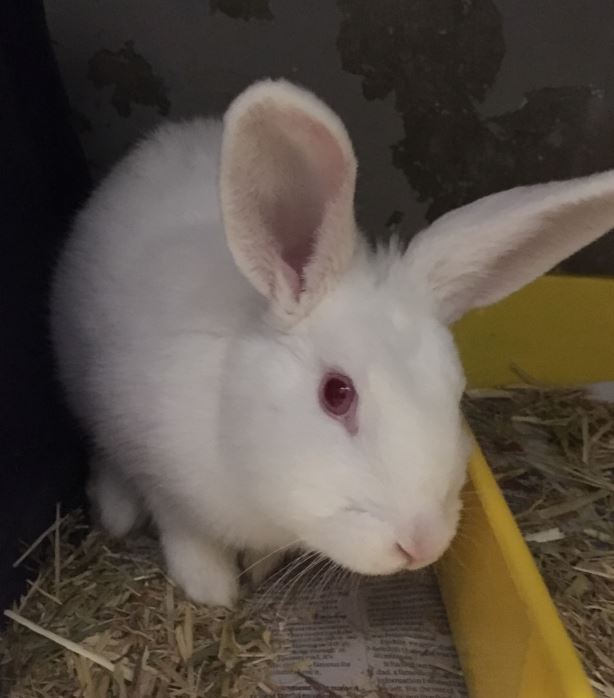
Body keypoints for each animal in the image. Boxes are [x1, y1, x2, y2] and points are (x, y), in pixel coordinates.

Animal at [50, 78, 614, 607]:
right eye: (336, 394)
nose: (422, 545)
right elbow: (187, 535)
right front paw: (213, 592)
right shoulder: (162, 478)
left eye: (456, 395)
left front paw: (259, 568)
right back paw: (116, 513)